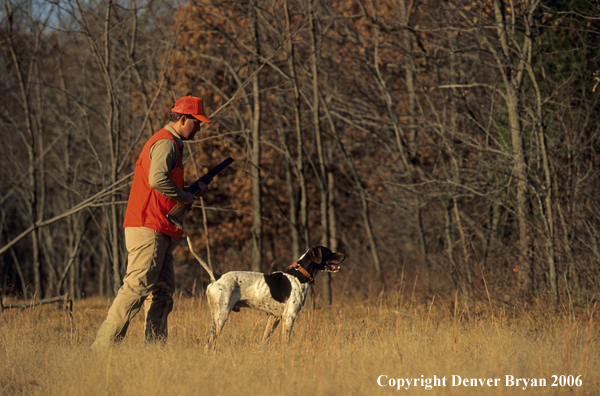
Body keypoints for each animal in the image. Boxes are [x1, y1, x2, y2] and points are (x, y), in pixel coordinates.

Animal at [188, 237, 346, 348]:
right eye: (328, 252)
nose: (344, 255)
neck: (300, 274)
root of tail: (216, 277)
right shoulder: (289, 316)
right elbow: (285, 342)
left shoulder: (273, 317)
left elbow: (264, 341)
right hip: (222, 316)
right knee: (210, 342)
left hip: (216, 316)